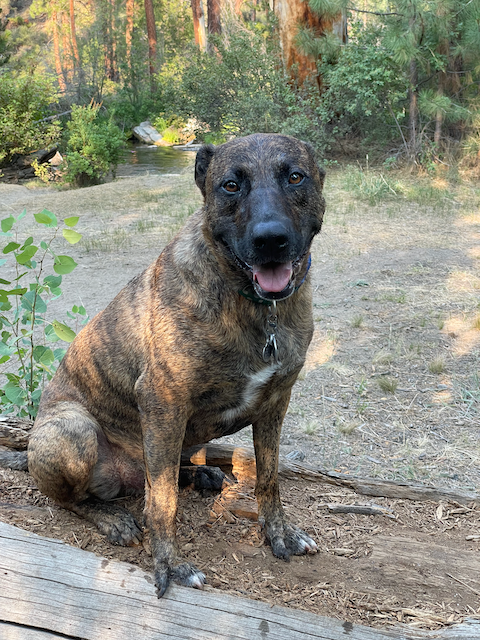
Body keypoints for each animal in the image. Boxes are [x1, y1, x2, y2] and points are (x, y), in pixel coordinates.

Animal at [29, 132, 326, 596]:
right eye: (230, 185)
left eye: (295, 176)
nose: (270, 239)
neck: (255, 307)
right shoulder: (162, 402)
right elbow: (162, 504)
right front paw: (169, 565)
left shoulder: (276, 402)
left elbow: (269, 477)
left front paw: (278, 533)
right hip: (73, 432)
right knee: (76, 499)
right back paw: (112, 518)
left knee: (161, 476)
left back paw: (198, 476)